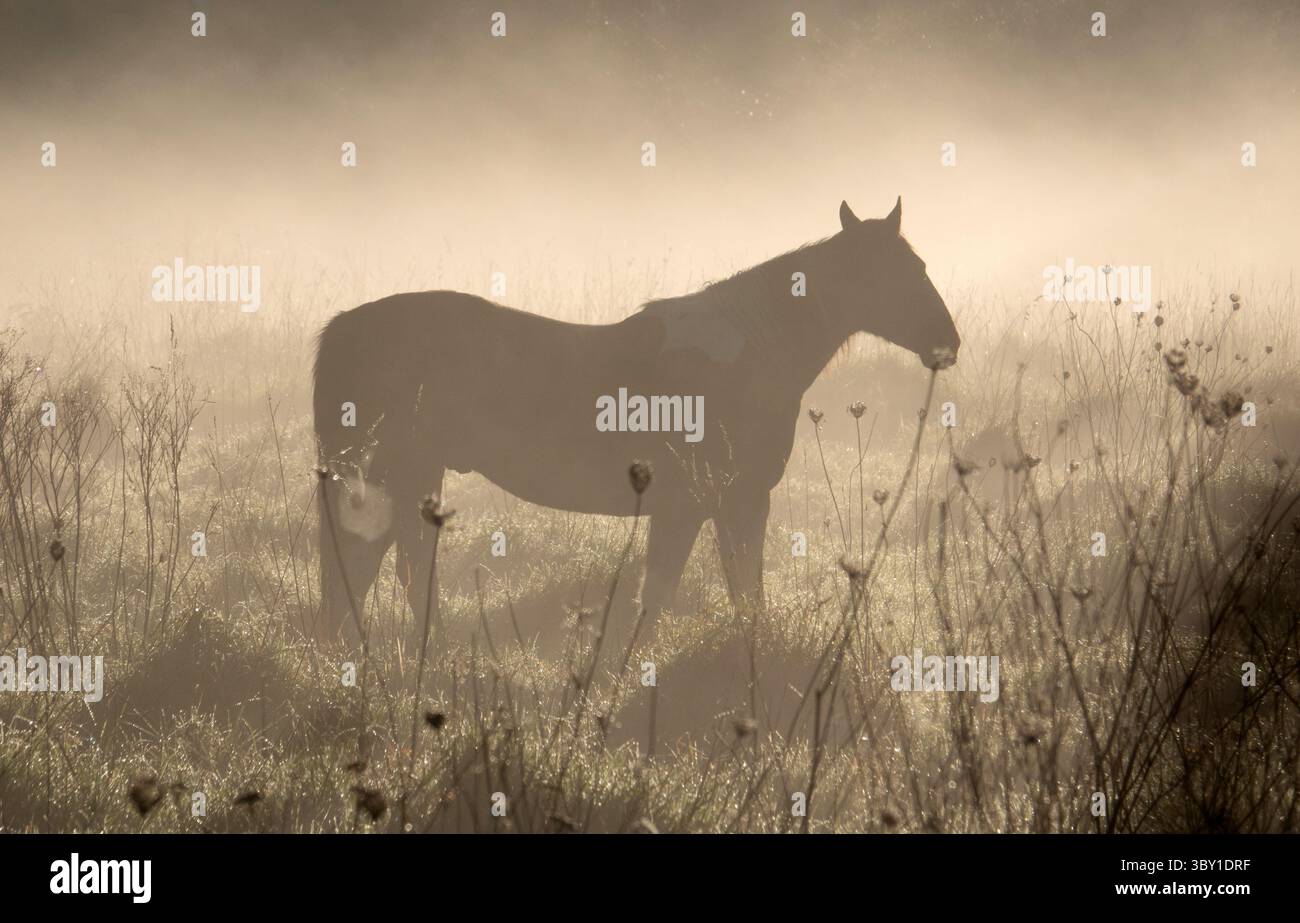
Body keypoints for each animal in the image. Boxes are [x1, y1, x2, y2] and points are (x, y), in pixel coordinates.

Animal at [312, 197, 960, 642]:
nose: (948, 342)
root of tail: (344, 327)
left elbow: (723, 592)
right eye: (891, 274)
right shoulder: (716, 503)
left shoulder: (715, 506)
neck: (746, 352)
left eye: (922, 265)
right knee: (368, 567)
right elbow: (688, 593)